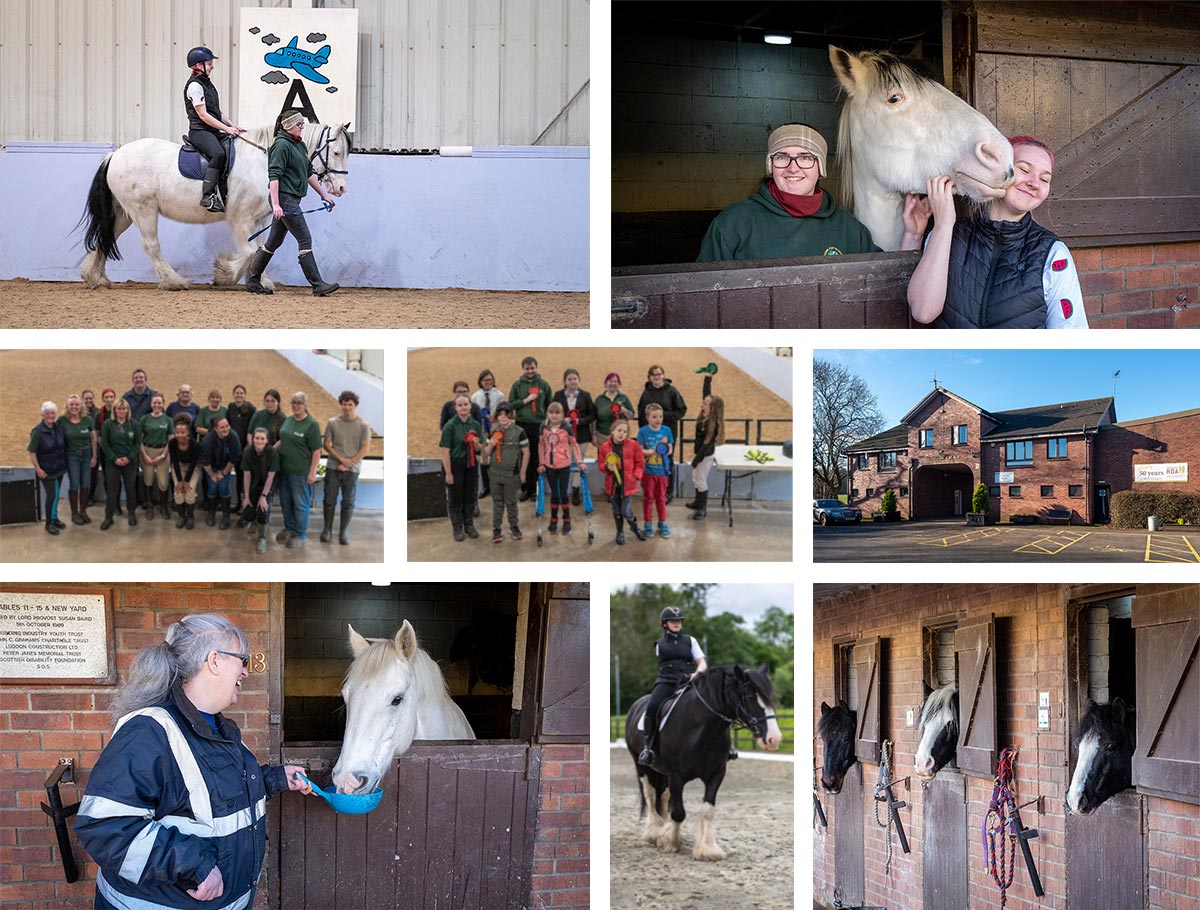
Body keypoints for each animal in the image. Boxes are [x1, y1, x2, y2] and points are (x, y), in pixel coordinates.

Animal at [78, 121, 350, 290]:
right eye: (336, 152)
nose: (341, 188)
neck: (262, 160)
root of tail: (115, 155)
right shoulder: (241, 219)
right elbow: (250, 251)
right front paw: (224, 274)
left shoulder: (259, 219)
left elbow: (261, 249)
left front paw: (260, 280)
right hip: (143, 210)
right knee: (151, 246)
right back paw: (175, 282)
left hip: (123, 213)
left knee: (106, 238)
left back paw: (96, 278)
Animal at [624, 667, 782, 859]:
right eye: (750, 697)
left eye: (771, 699)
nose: (774, 739)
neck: (701, 728)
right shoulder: (676, 776)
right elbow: (678, 812)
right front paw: (670, 842)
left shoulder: (716, 774)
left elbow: (707, 810)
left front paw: (707, 849)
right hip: (641, 765)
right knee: (650, 794)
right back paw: (653, 833)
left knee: (663, 796)